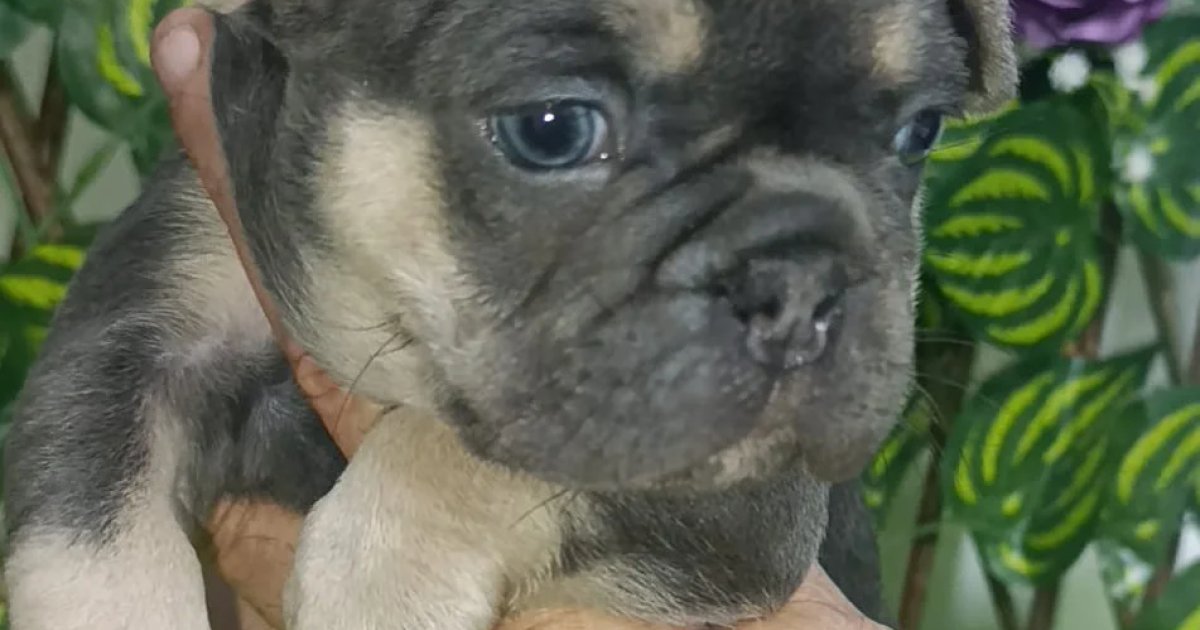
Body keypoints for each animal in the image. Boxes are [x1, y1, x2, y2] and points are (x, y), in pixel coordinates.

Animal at [2, 0, 1017, 627]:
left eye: (919, 134)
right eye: (552, 129)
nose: (800, 277)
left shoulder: (730, 482)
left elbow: (460, 453)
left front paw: (381, 573)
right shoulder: (144, 335)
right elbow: (92, 540)